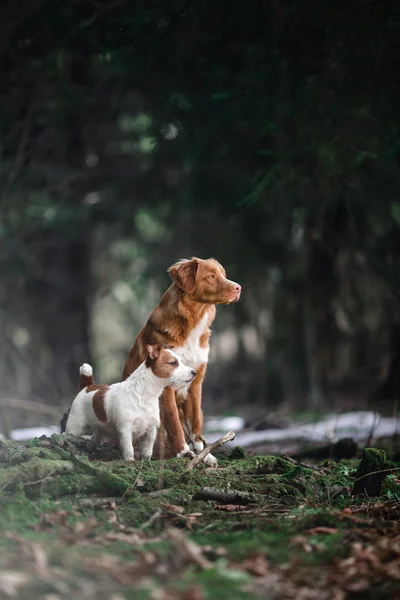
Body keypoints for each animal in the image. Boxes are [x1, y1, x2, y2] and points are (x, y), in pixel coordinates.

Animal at [64, 344, 195, 462]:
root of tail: (88, 386)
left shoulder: (151, 430)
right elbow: (129, 449)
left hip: (99, 429)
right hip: (75, 427)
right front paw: (130, 461)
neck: (143, 394)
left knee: (94, 439)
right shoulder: (125, 430)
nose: (194, 372)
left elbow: (147, 451)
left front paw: (146, 462)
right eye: (173, 363)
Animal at [122, 255, 241, 466]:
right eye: (211, 276)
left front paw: (204, 454)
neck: (193, 321)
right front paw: (184, 452)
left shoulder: (196, 381)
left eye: (223, 274)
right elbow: (174, 422)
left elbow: (196, 422)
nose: (239, 288)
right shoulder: (167, 386)